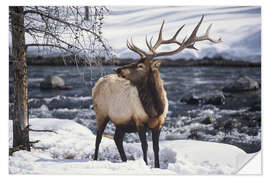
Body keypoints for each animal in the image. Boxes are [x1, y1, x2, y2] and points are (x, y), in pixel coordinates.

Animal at [92, 15, 220, 167]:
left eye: (140, 65)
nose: (118, 69)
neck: (155, 109)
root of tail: (97, 83)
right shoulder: (139, 121)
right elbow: (144, 146)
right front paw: (146, 165)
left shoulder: (159, 123)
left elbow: (156, 147)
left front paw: (157, 166)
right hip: (101, 113)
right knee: (98, 137)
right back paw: (95, 159)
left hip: (120, 122)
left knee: (117, 138)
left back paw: (124, 161)